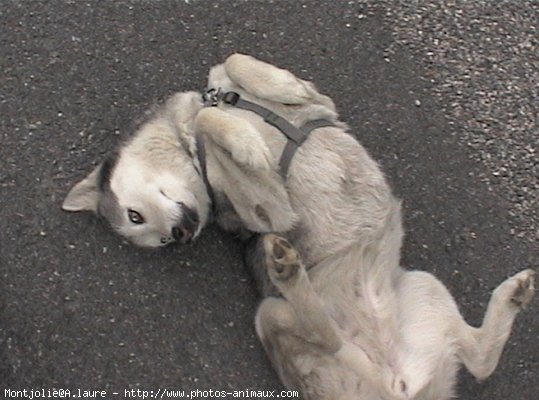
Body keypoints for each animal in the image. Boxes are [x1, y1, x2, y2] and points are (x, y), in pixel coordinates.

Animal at [64, 54, 536, 398]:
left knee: (480, 359)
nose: (178, 237)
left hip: (425, 286)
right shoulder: (269, 211)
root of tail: (395, 384)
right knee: (326, 337)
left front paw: (278, 90)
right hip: (272, 314)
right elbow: (213, 127)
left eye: (135, 217)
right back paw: (287, 271)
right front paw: (245, 143)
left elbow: (238, 62)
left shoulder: (316, 99)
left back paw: (512, 296)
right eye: (152, 236)